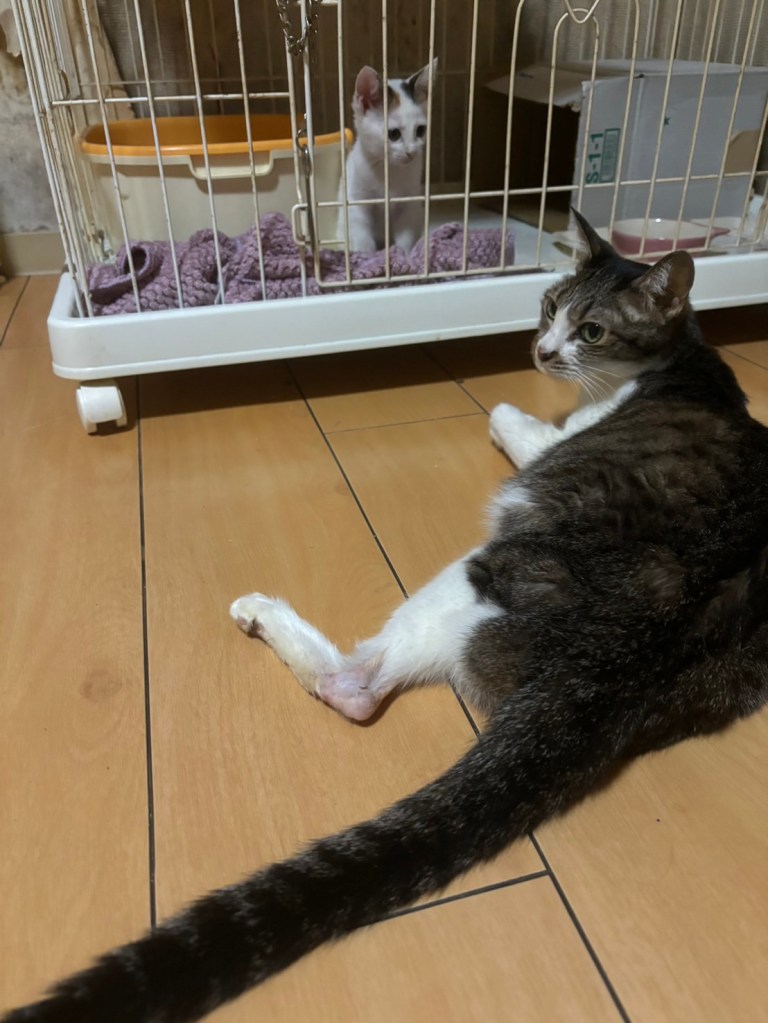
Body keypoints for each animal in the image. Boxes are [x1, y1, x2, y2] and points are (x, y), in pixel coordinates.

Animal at [5, 210, 768, 1023]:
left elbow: (526, 429)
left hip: (478, 573)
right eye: (550, 302)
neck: (677, 359)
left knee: (356, 688)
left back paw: (264, 614)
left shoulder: (558, 441)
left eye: (590, 330)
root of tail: (615, 667)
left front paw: (503, 411)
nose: (541, 349)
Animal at [339, 60, 437, 253]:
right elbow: (362, 236)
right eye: (394, 134)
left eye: (421, 130)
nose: (411, 152)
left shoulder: (409, 204)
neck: (390, 170)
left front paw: (404, 254)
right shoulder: (357, 201)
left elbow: (405, 236)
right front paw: (366, 256)